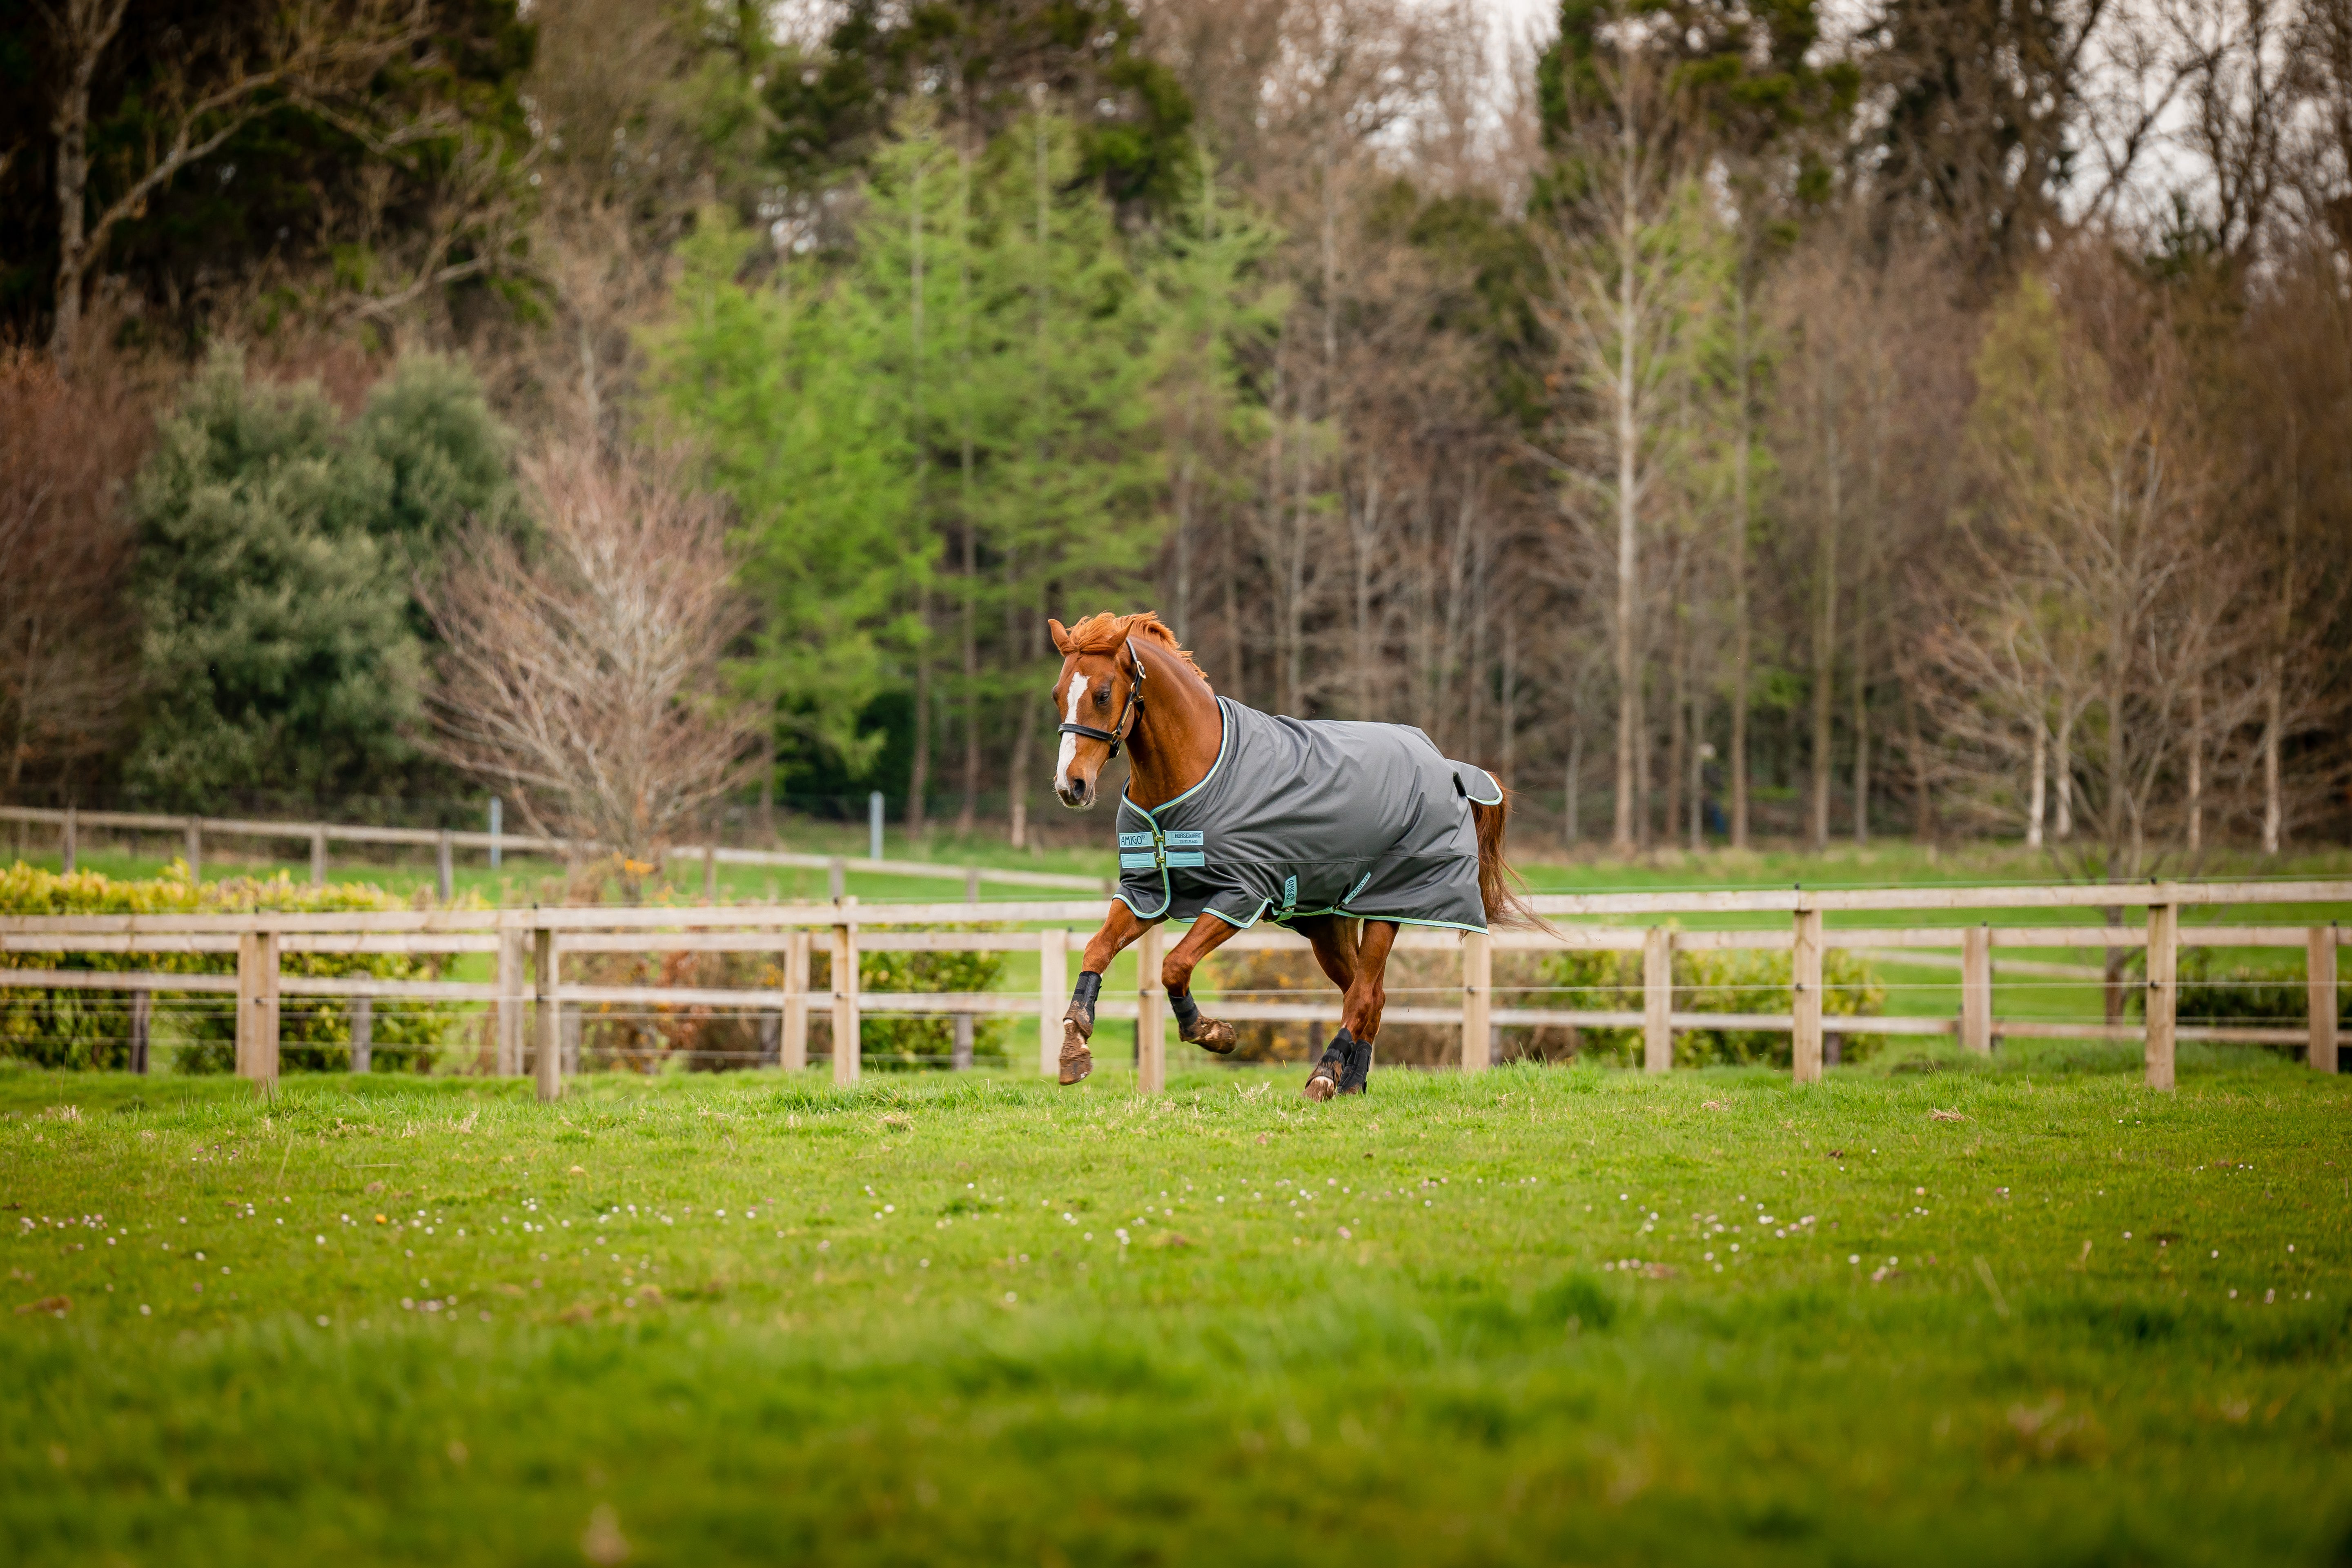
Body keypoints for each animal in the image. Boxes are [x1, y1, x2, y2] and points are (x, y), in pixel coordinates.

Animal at [1047, 610, 1535, 1099]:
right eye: (1057, 694)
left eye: (1103, 694)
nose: (1071, 786)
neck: (1194, 773)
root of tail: (1446, 764)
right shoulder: (1147, 893)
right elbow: (1096, 950)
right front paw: (1074, 1046)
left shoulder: (1238, 897)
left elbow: (1175, 965)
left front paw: (1213, 1033)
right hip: (1329, 926)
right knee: (1370, 996)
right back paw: (1351, 1083)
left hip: (1389, 906)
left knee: (1362, 996)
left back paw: (1323, 1076)